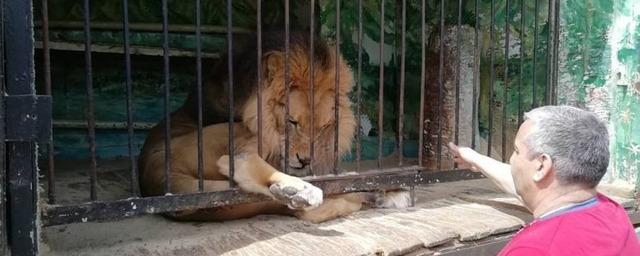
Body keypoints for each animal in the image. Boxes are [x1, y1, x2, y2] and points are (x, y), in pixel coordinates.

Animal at [138, 30, 412, 222]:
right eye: (292, 122)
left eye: (324, 127)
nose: (305, 160)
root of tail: (155, 178)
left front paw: (387, 190)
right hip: (233, 136)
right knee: (243, 161)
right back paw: (299, 190)